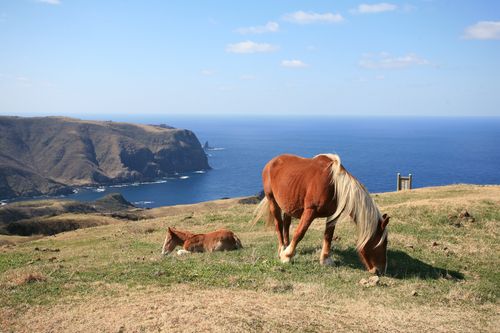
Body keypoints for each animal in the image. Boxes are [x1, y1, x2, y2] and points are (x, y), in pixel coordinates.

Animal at [252, 153, 388, 274]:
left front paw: (325, 260)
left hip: (288, 204)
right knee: (279, 225)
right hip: (272, 200)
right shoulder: (310, 211)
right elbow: (299, 233)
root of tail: (271, 162)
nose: (380, 270)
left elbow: (328, 236)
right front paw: (287, 256)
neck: (335, 185)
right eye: (383, 243)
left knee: (286, 223)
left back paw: (287, 245)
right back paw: (282, 249)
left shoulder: (333, 216)